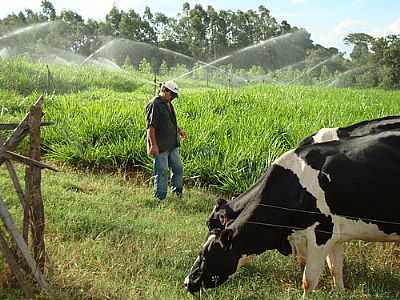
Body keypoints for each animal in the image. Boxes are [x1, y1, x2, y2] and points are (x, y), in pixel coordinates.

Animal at [184, 128, 400, 296]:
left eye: (206, 255)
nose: (187, 282)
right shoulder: (336, 235)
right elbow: (335, 269)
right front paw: (340, 292)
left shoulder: (321, 233)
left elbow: (309, 279)